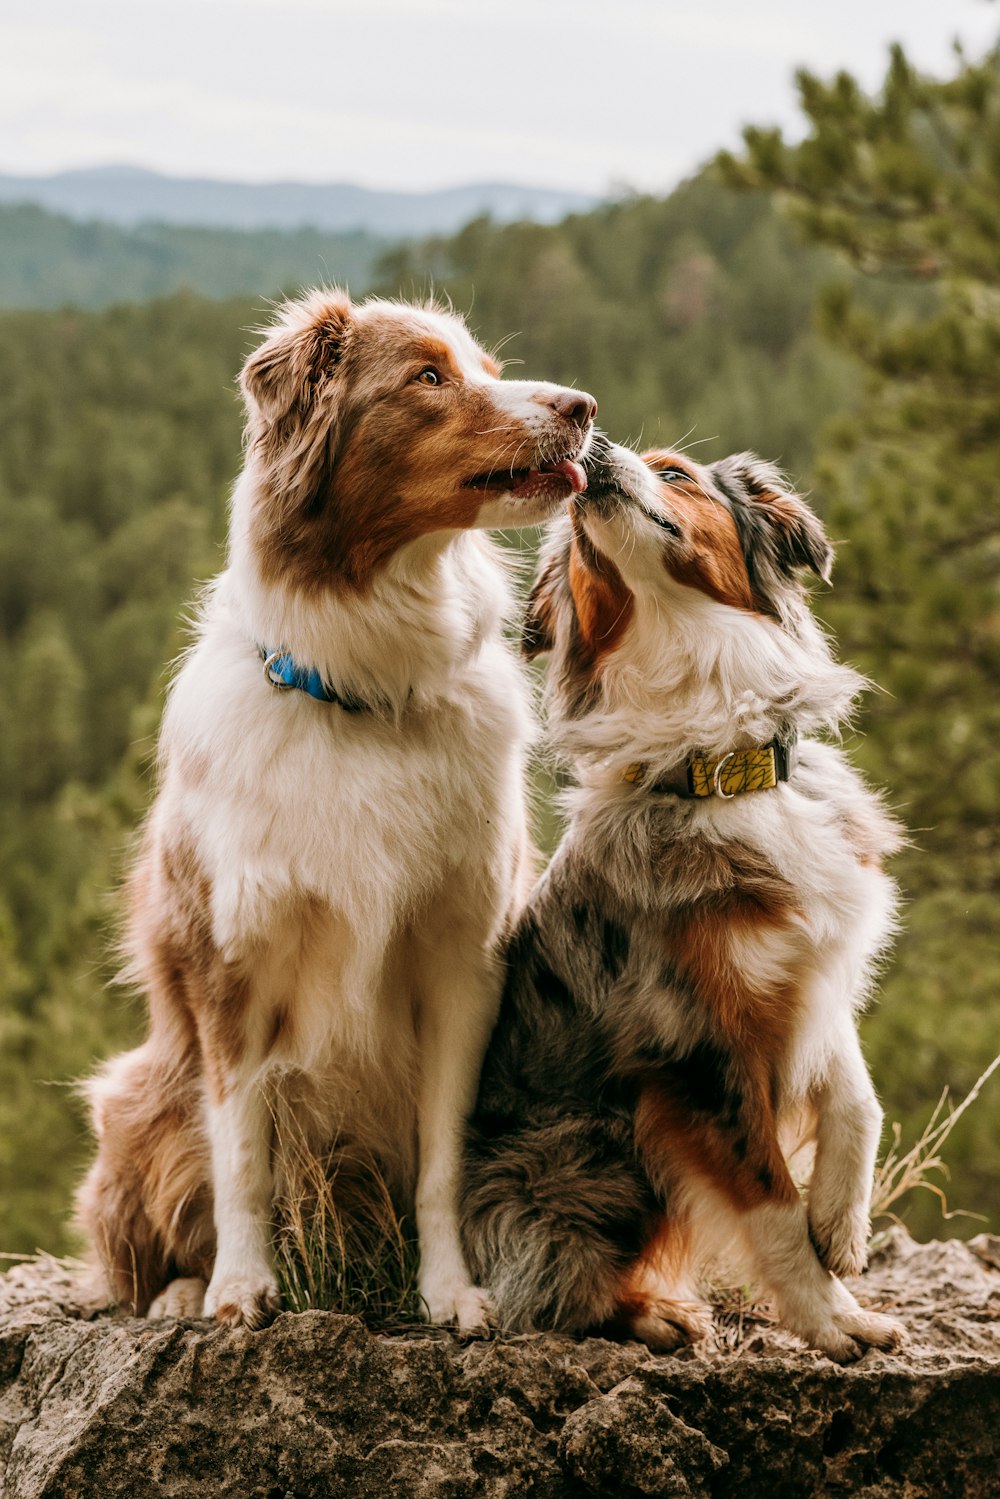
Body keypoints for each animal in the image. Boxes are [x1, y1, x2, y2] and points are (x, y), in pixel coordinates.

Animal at [80, 286, 593, 1331]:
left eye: (486, 366)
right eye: (428, 376)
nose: (584, 407)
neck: (361, 689)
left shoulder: (462, 960)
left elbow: (442, 1162)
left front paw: (450, 1292)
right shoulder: (229, 966)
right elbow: (241, 1158)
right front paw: (241, 1287)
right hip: (136, 1099)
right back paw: (181, 1291)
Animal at [461, 434, 905, 1361]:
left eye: (675, 473)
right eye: (577, 542)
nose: (591, 442)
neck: (719, 765)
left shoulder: (812, 967)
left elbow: (855, 1089)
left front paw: (842, 1223)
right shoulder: (697, 1044)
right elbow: (769, 1201)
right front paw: (833, 1318)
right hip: (596, 1145)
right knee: (544, 1284)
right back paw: (647, 1313)